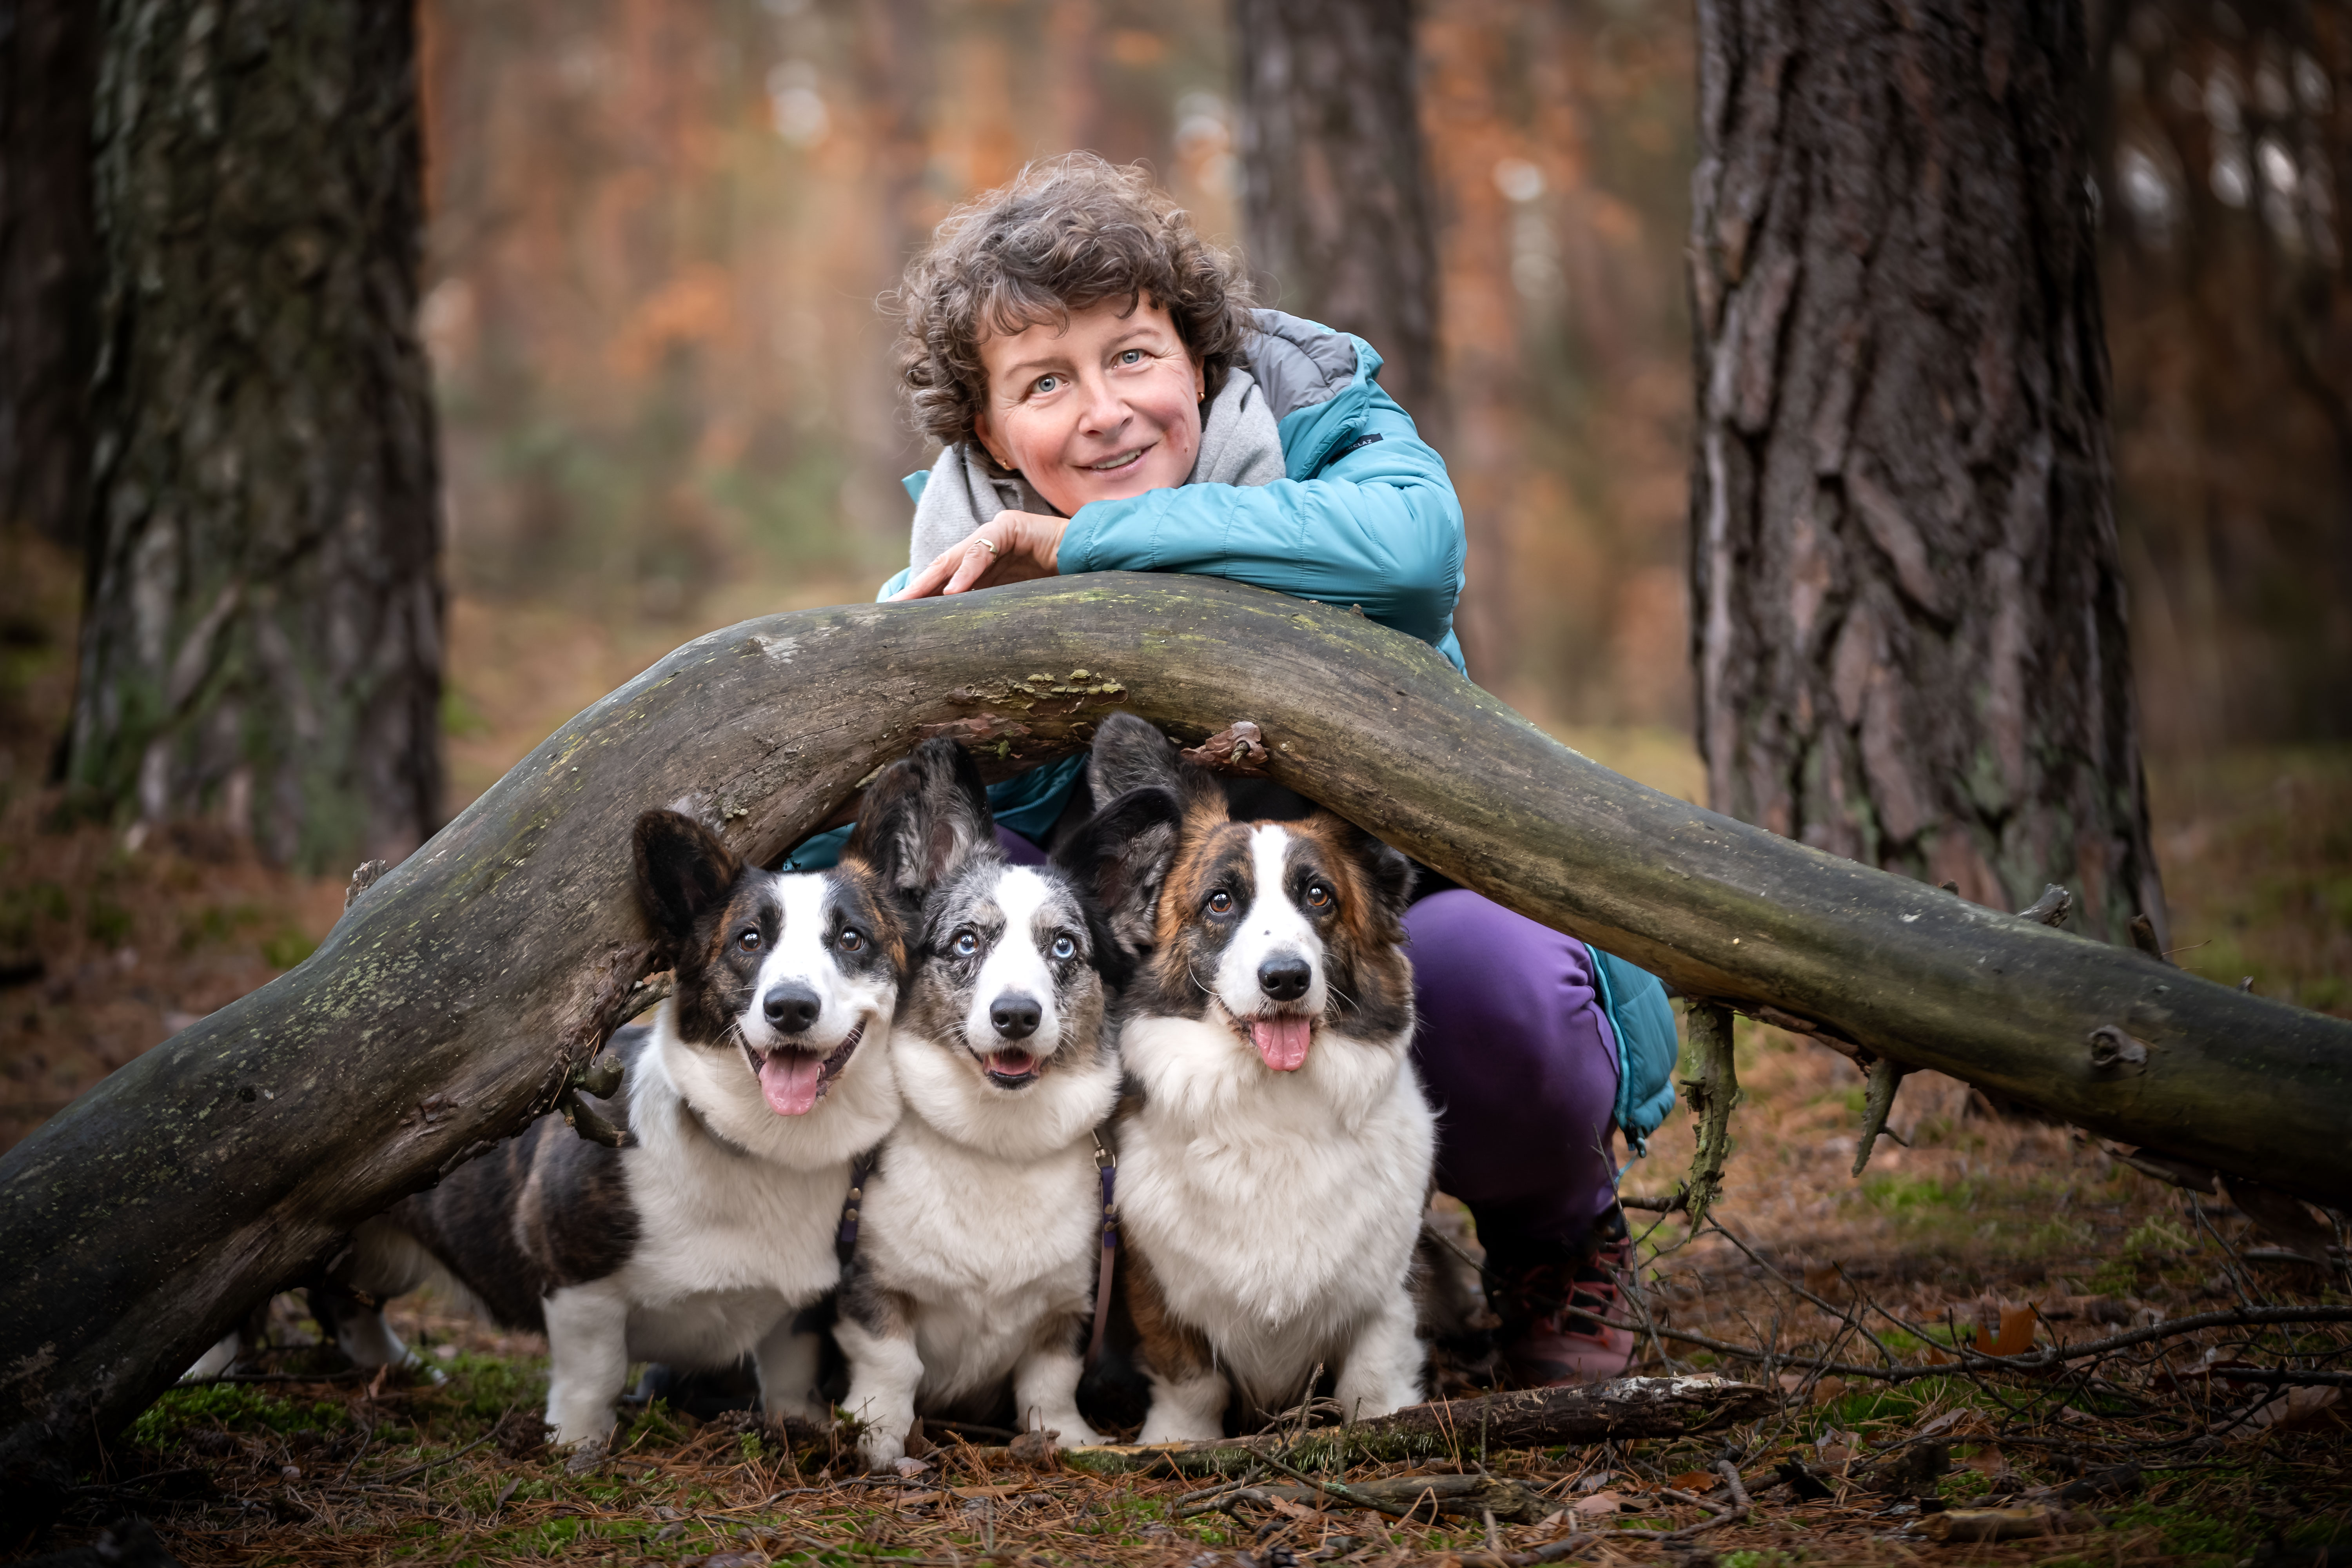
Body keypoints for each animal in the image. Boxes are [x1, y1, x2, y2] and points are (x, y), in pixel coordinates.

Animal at [313, 804, 898, 1457]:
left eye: (851, 939)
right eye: (749, 939)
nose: (791, 1008)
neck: (766, 1146)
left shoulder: (798, 1312)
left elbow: (791, 1375)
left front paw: (802, 1431)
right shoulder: (577, 1281)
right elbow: (594, 1375)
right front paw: (577, 1447)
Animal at [837, 743, 1167, 1476]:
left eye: (1064, 946)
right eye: (966, 941)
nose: (1016, 1016)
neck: (998, 1141)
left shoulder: (1069, 1308)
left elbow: (1050, 1382)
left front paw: (1069, 1441)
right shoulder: (872, 1290)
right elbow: (891, 1366)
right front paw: (878, 1442)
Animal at [1073, 719, 1430, 1439]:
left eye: (1319, 896)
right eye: (1220, 902)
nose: (1286, 978)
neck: (1272, 1110)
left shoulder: (1389, 1290)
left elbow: (1372, 1374)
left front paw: (1386, 1422)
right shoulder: (1159, 1289)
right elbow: (1192, 1381)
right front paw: (1176, 1441)